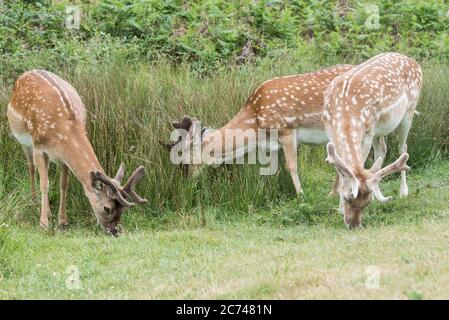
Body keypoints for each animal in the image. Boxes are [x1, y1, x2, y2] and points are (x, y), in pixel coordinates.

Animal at [6, 70, 147, 235]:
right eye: (107, 208)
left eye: (123, 210)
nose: (114, 231)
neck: (64, 130)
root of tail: (26, 73)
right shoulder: (39, 147)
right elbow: (45, 185)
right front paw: (44, 224)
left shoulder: (64, 157)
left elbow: (63, 185)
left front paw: (62, 221)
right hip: (24, 140)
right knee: (31, 168)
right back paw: (35, 204)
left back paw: (48, 211)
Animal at [162, 64, 354, 195]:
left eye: (185, 162)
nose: (186, 183)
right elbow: (274, 170)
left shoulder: (286, 128)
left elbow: (292, 166)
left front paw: (301, 196)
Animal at [320, 52, 422, 228]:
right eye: (348, 198)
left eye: (366, 203)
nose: (354, 225)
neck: (345, 115)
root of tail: (414, 62)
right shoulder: (329, 129)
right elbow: (341, 169)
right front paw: (339, 208)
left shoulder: (367, 131)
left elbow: (359, 162)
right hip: (379, 128)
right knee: (383, 149)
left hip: (409, 111)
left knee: (403, 148)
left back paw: (404, 191)